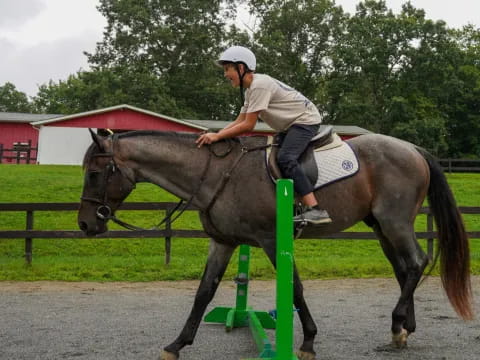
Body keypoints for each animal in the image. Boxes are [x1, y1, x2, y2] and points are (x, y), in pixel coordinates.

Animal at [78, 129, 472, 360]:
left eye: (95, 173)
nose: (85, 224)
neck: (214, 174)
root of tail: (413, 149)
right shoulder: (223, 242)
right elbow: (204, 292)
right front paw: (177, 345)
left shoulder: (270, 240)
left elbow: (295, 289)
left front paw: (308, 341)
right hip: (379, 226)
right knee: (404, 269)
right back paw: (403, 330)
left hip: (394, 221)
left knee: (417, 262)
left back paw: (396, 325)